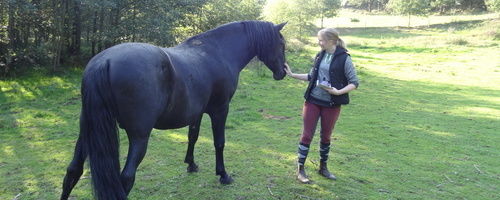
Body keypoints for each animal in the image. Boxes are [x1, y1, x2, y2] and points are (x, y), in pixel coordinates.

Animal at [60, 21, 288, 199]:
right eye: (281, 44)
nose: (283, 72)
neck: (218, 52)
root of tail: (104, 62)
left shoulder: (197, 112)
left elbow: (193, 136)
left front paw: (191, 164)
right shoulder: (220, 110)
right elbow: (219, 142)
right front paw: (223, 175)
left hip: (87, 132)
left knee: (73, 171)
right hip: (139, 137)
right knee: (126, 179)